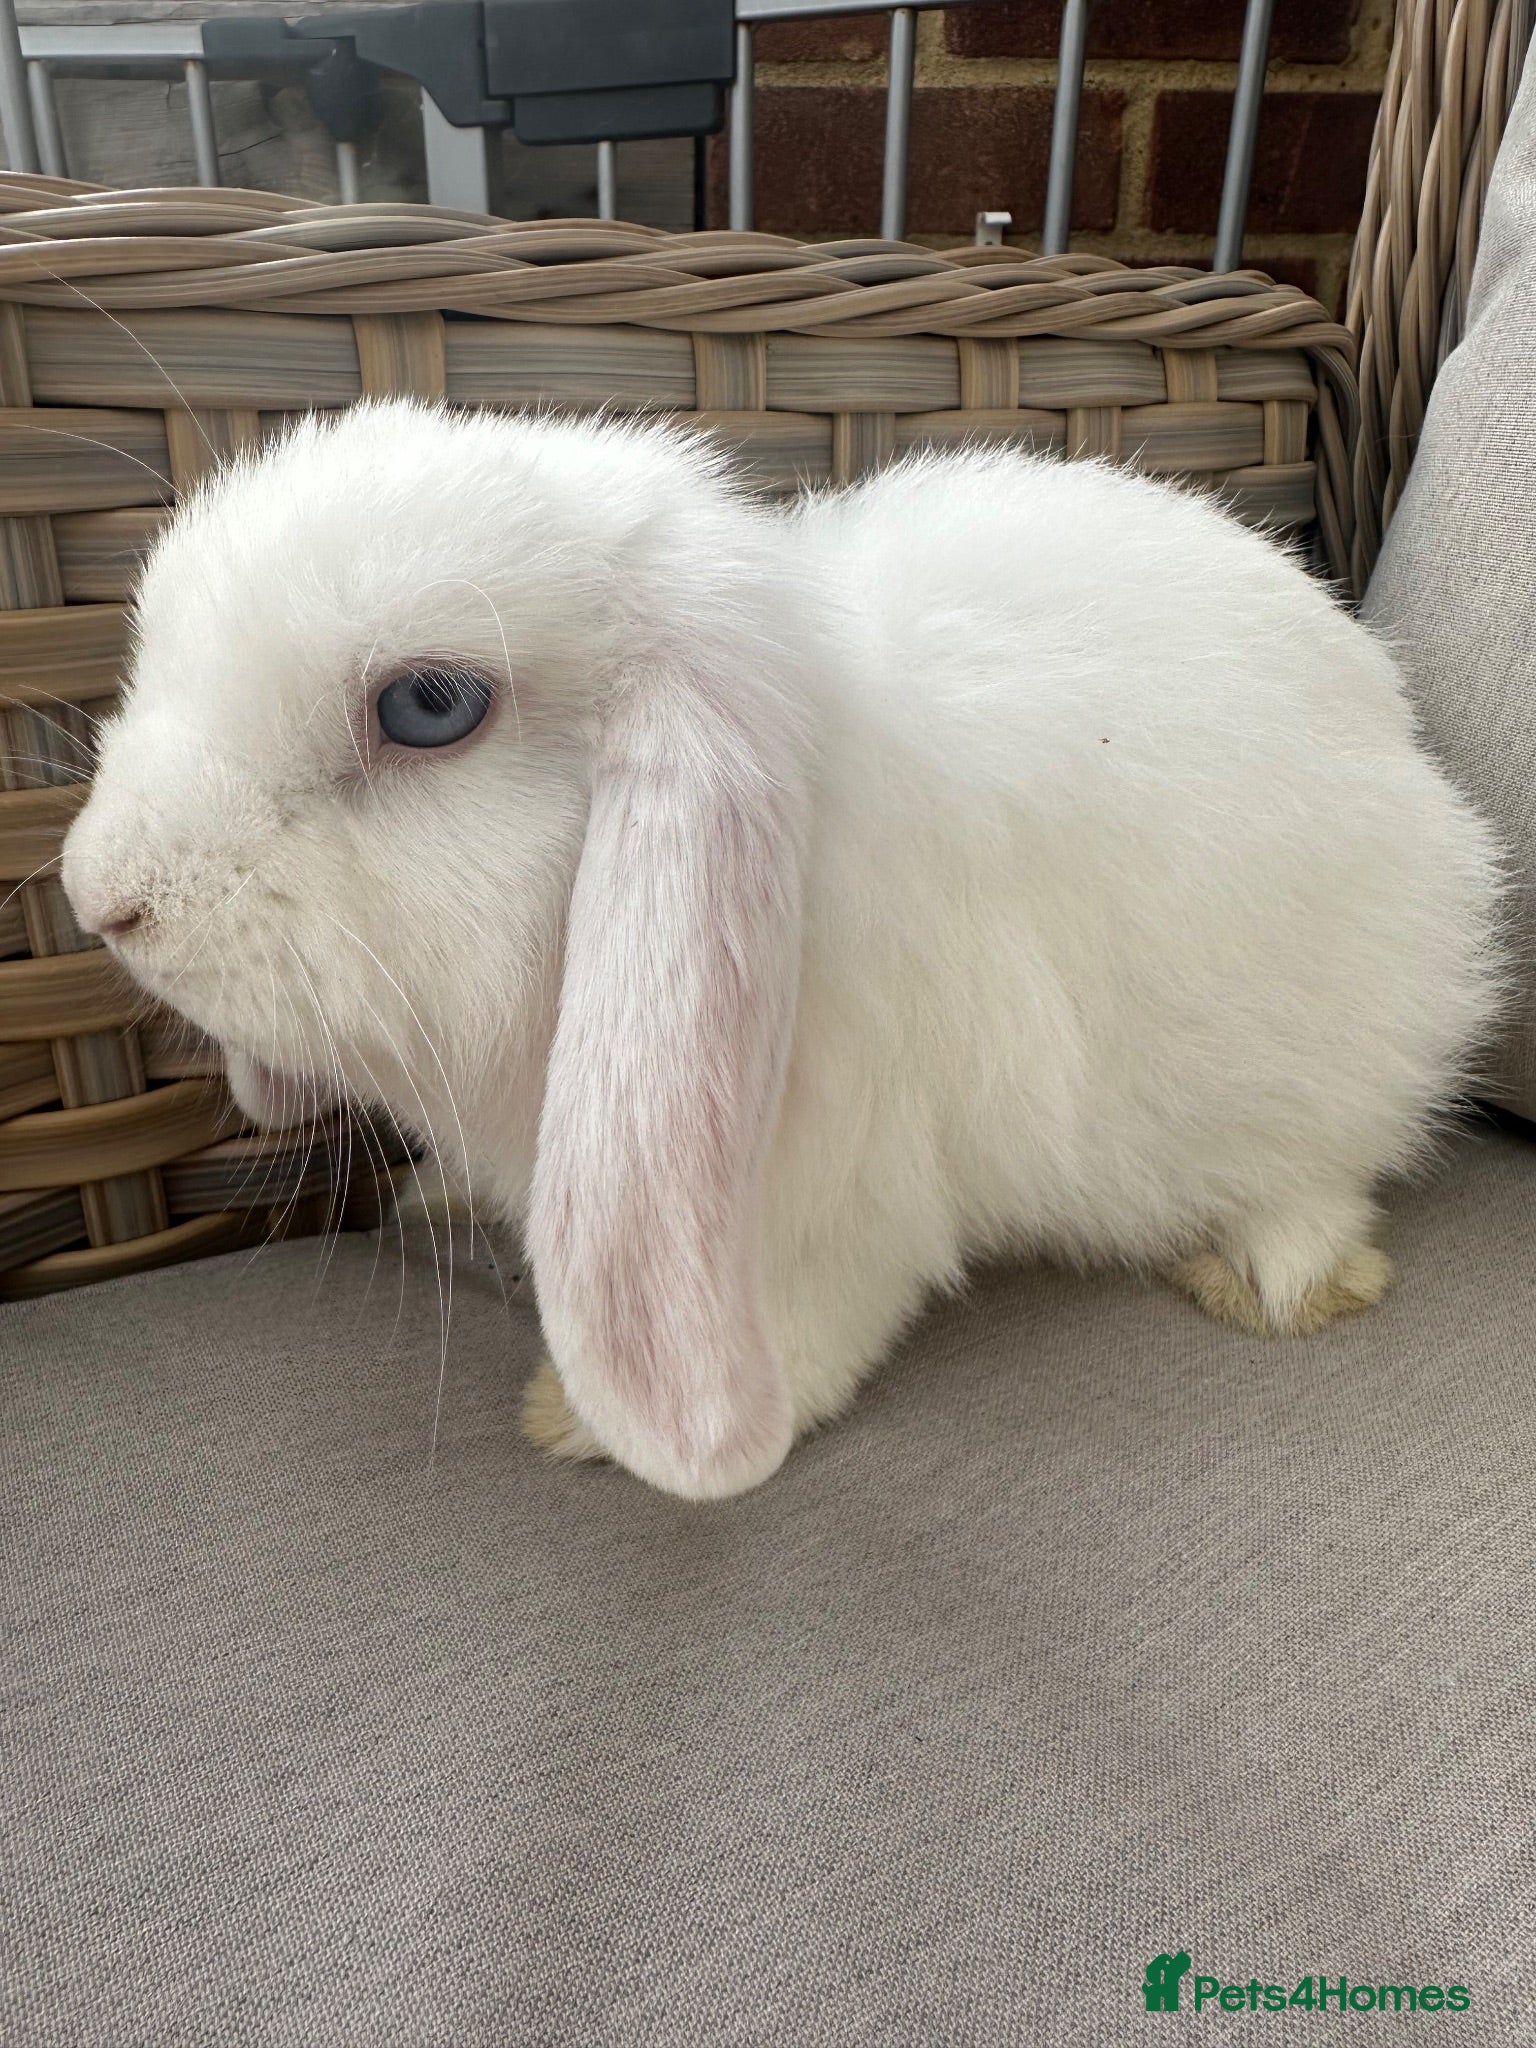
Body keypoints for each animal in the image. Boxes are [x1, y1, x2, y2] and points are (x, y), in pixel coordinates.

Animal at [61, 399, 1503, 1500]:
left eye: (429, 705)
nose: (98, 897)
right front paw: (442, 1203)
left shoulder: (843, 1197)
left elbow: (809, 1322)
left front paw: (589, 1424)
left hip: (1333, 1061)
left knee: (1328, 1168)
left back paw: (1276, 1276)